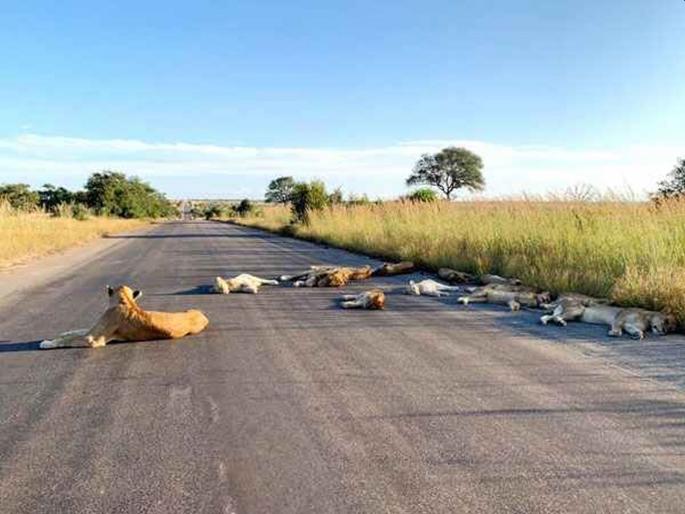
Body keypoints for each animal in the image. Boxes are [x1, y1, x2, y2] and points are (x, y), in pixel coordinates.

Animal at [39, 285, 209, 349]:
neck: (126, 301)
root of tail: (203, 315)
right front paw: (61, 334)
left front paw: (47, 343)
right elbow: (75, 331)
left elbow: (73, 337)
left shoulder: (96, 339)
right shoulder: (94, 331)